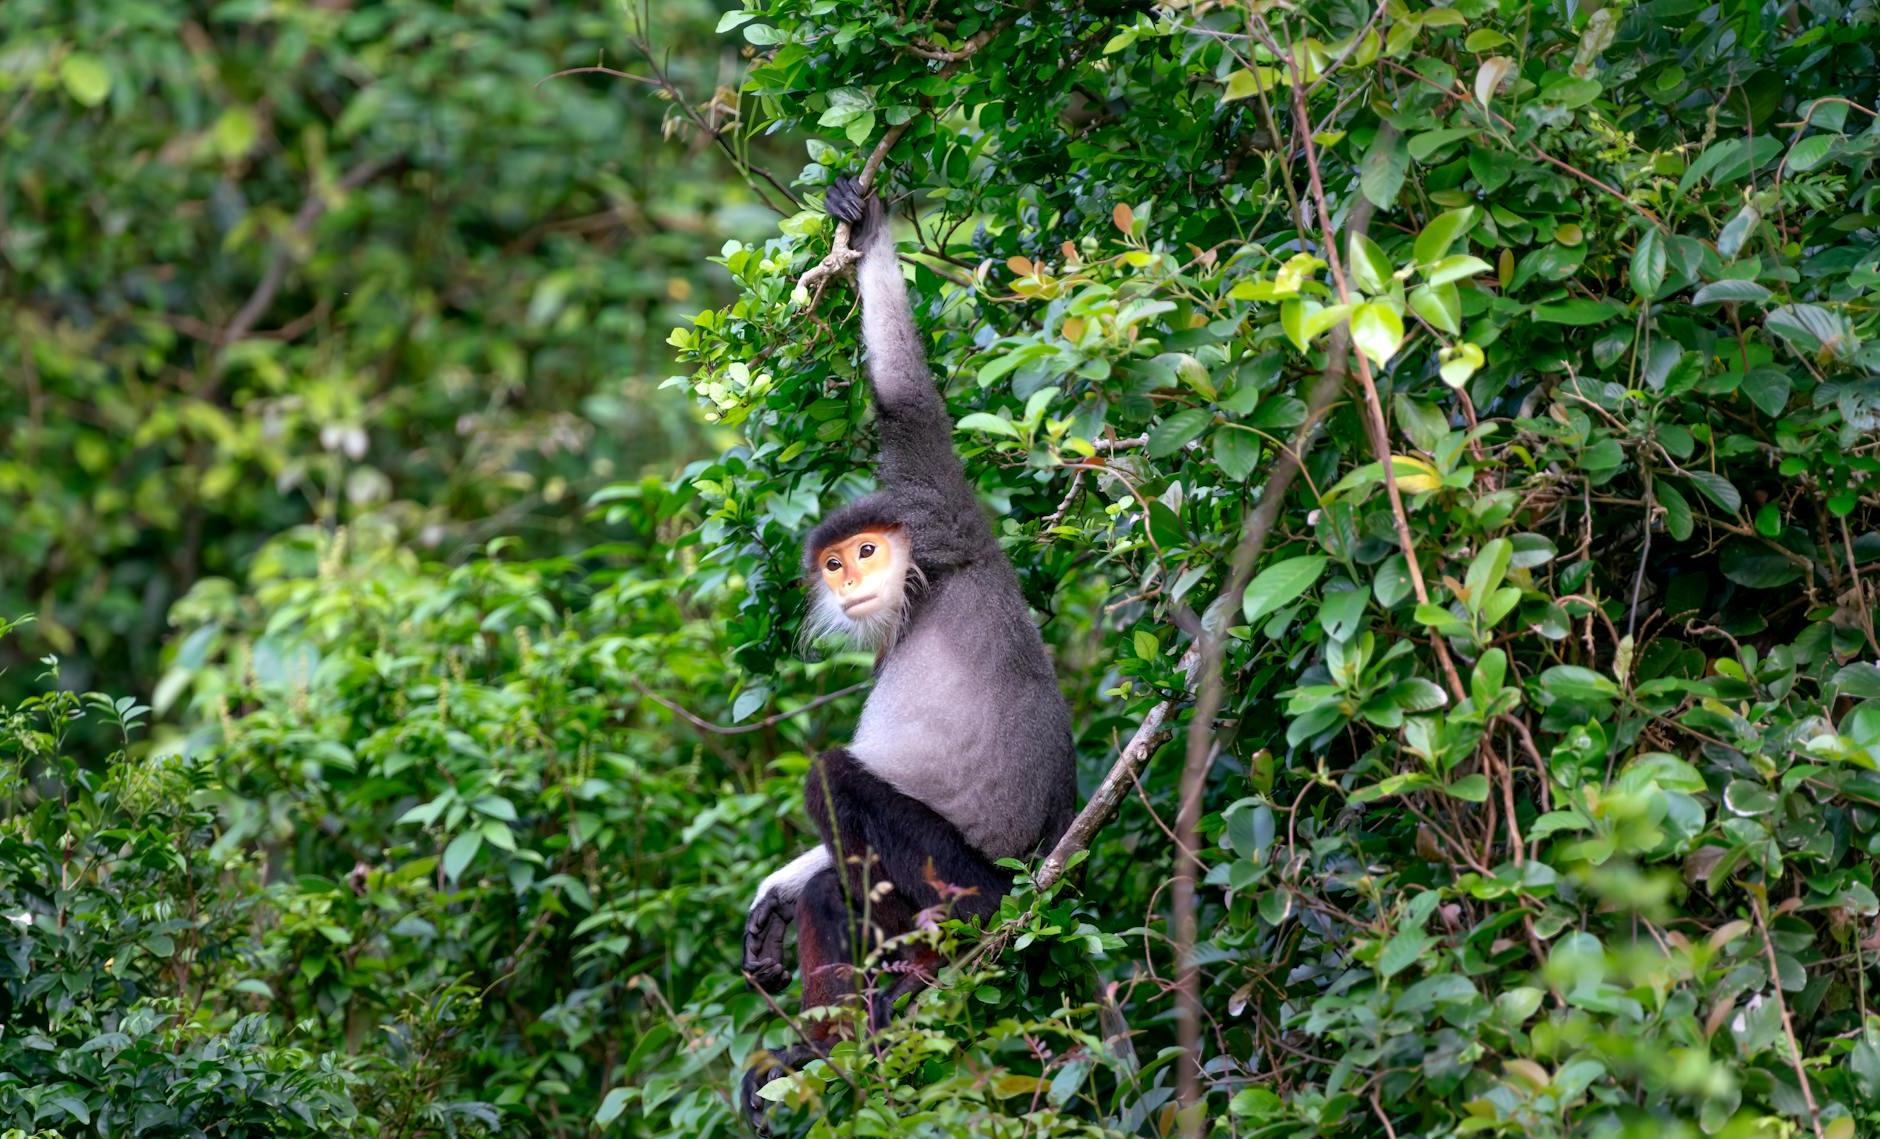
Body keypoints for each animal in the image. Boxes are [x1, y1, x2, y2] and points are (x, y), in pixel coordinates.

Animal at [740, 178, 1082, 1127]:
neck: (918, 588)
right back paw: (821, 1048)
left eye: (866, 550)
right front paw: (775, 891)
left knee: (836, 776)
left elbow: (906, 399)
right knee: (835, 883)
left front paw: (869, 226)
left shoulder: (939, 516)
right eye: (833, 564)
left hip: (972, 882)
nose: (852, 578)